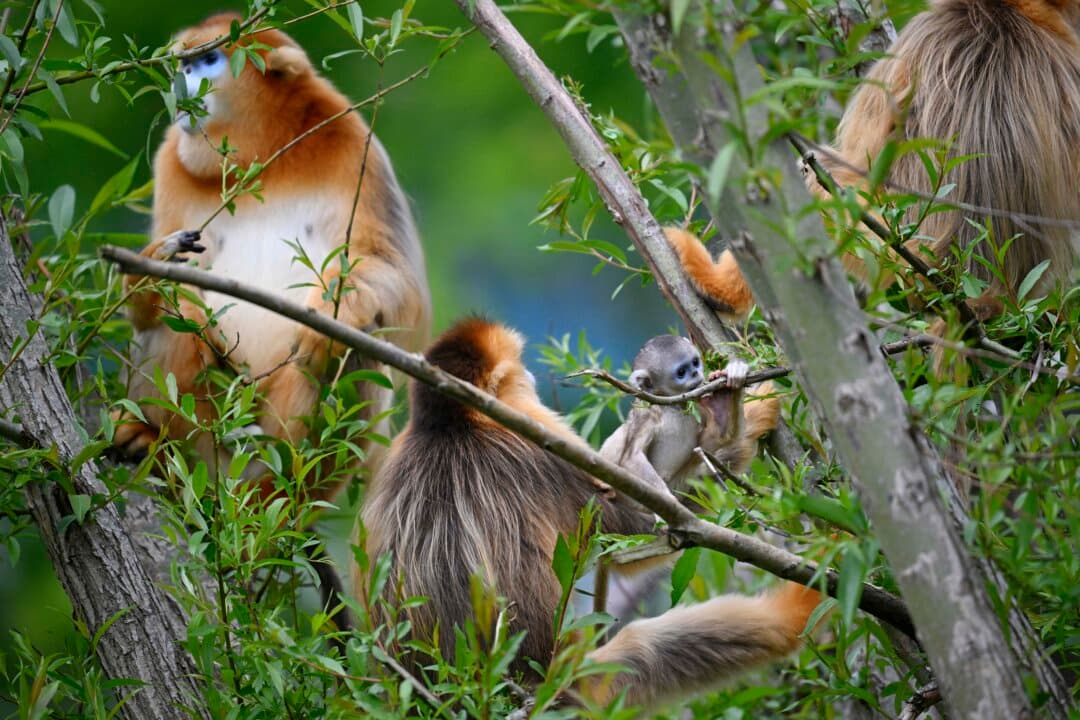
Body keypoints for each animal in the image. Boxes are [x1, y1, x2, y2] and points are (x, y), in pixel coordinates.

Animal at [110, 14, 431, 501]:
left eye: (208, 58)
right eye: (184, 63)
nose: (184, 79)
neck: (263, 153)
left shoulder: (354, 143)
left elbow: (390, 271)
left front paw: (335, 314)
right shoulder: (171, 159)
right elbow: (154, 304)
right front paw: (152, 275)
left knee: (350, 352)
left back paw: (280, 492)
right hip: (208, 439)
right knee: (174, 320)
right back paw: (152, 440)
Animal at [599, 335, 780, 496]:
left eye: (695, 362)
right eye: (681, 372)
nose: (695, 373)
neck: (672, 406)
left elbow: (718, 438)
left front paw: (723, 396)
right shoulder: (646, 412)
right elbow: (631, 457)